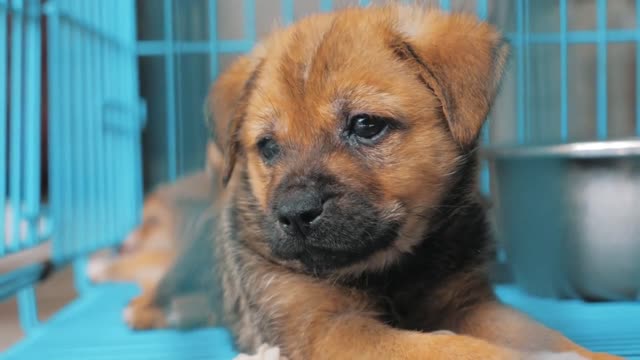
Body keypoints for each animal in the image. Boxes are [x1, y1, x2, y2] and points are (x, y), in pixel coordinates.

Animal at [126, 5, 620, 360]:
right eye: (267, 147)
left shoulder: (471, 303)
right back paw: (149, 309)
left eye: (365, 125)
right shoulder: (327, 328)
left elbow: (543, 334)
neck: (394, 268)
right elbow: (450, 348)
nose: (295, 213)